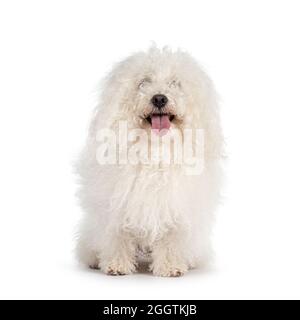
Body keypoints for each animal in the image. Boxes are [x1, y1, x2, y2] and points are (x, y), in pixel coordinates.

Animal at [76, 46, 224, 276]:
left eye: (175, 83)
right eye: (144, 82)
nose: (159, 98)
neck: (155, 150)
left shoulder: (176, 208)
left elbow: (171, 237)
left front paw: (171, 266)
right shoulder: (116, 205)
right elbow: (118, 235)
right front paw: (117, 264)